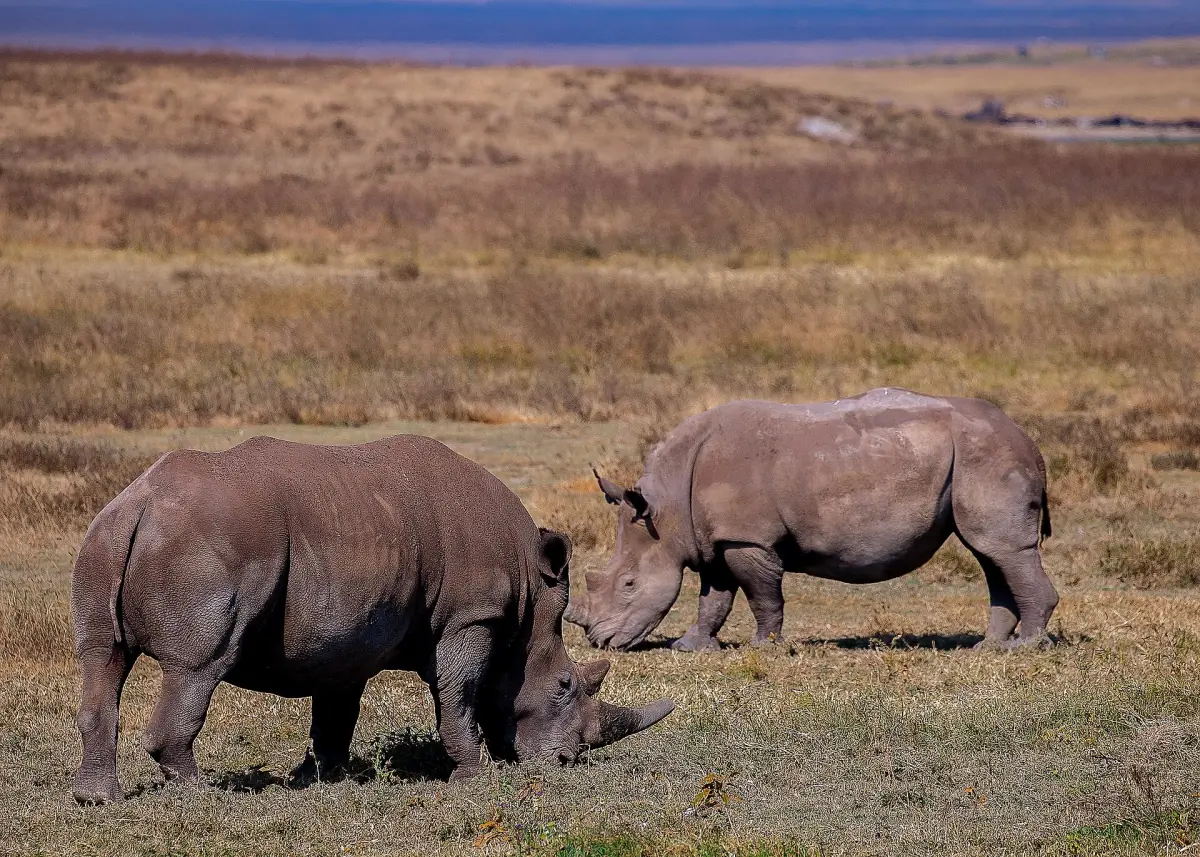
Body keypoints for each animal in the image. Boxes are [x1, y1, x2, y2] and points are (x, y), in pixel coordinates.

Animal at [71, 435, 673, 804]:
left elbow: (336, 711)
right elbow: (460, 693)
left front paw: (318, 778)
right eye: (566, 685)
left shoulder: (345, 634)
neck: (529, 602)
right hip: (210, 546)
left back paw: (96, 798)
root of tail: (141, 503)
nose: (565, 760)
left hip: (105, 536)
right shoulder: (472, 617)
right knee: (198, 667)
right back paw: (203, 794)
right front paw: (471, 776)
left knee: (102, 658)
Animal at [567, 389, 1059, 652]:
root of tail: (1030, 441)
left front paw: (763, 646)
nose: (599, 641)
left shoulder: (747, 539)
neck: (666, 510)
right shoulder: (715, 539)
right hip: (980, 455)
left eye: (629, 584)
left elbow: (762, 595)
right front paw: (689, 646)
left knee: (1002, 550)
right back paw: (988, 646)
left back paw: (1024, 647)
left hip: (988, 454)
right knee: (989, 554)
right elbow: (715, 598)